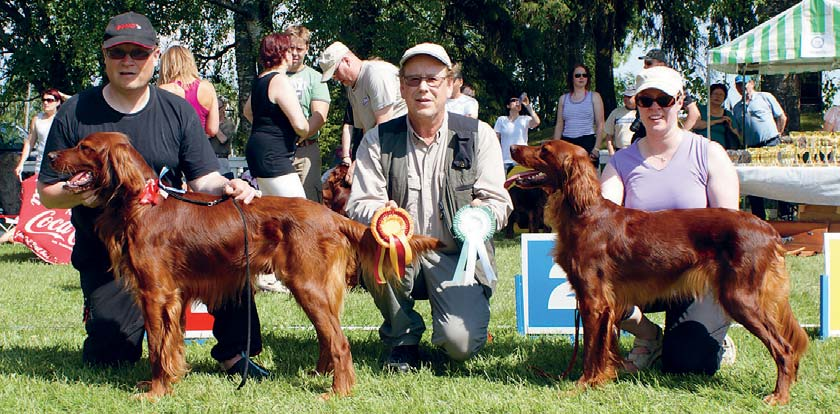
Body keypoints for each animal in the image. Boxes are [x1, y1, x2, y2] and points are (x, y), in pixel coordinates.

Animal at [47, 132, 440, 398]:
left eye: (85, 147)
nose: (50, 156)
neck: (142, 204)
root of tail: (329, 214)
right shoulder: (173, 297)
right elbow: (171, 345)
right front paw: (169, 380)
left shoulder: (156, 294)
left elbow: (157, 346)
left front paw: (156, 391)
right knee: (329, 338)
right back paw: (320, 376)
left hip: (307, 286)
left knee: (340, 342)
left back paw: (337, 392)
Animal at [512, 141, 808, 406]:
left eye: (544, 150)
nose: (514, 148)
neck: (584, 212)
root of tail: (769, 230)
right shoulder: (606, 302)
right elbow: (604, 348)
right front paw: (601, 380)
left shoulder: (593, 301)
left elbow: (590, 351)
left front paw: (582, 385)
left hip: (740, 298)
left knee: (784, 348)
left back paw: (779, 397)